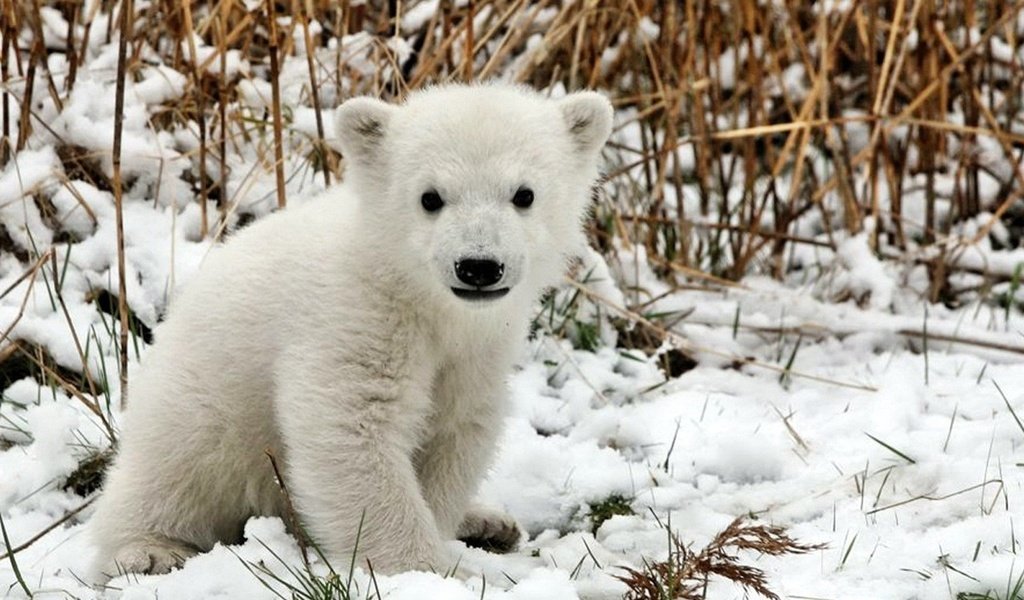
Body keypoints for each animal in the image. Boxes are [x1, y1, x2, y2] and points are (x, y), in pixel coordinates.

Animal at [88, 82, 610, 573]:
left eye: (524, 194)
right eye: (430, 197)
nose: (478, 266)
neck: (417, 293)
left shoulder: (479, 347)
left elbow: (455, 429)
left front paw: (445, 532)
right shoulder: (354, 318)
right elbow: (351, 428)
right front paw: (422, 569)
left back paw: (489, 522)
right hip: (201, 408)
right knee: (174, 472)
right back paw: (149, 550)